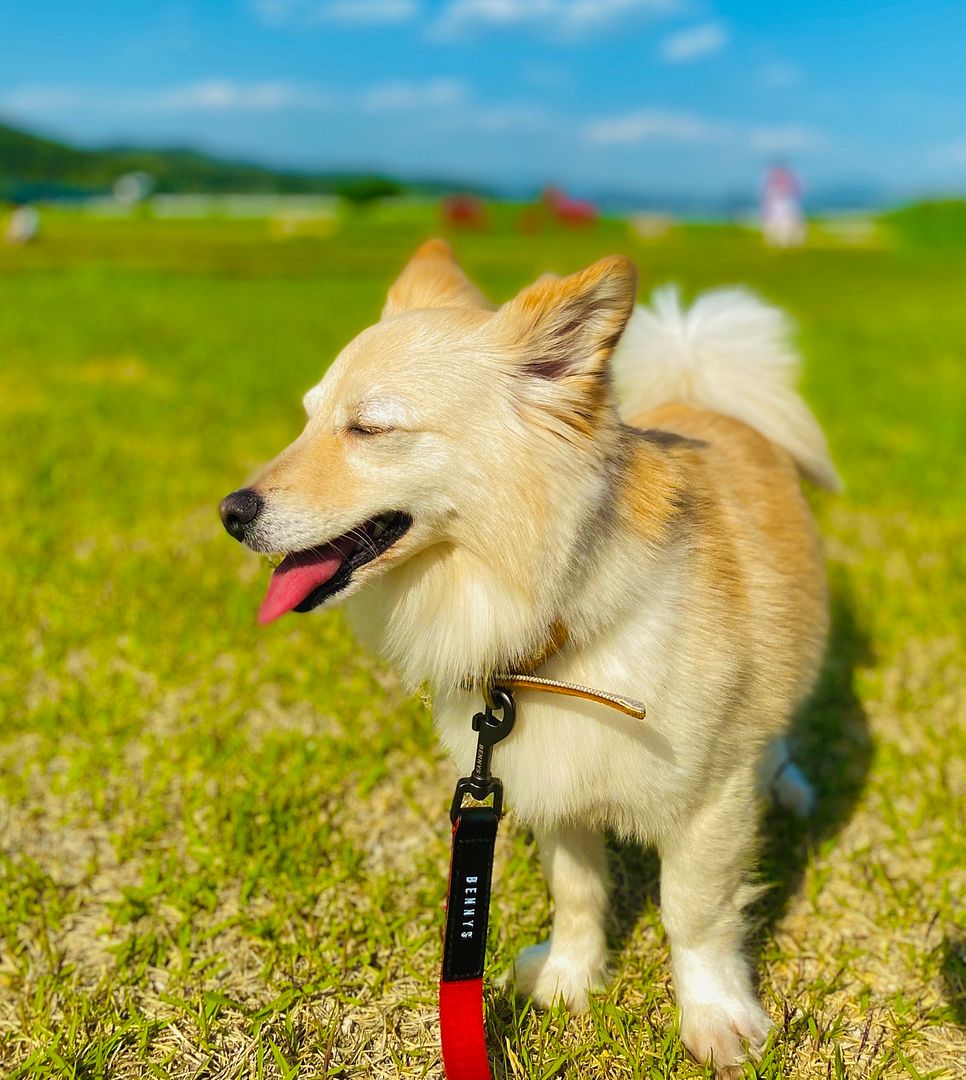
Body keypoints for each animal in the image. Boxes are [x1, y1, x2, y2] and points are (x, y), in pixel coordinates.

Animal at [219, 240, 838, 1075]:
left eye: (370, 429)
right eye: (309, 420)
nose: (231, 512)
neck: (555, 626)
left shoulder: (708, 802)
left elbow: (695, 914)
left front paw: (715, 1019)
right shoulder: (551, 785)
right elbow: (577, 891)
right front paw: (570, 978)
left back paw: (790, 785)